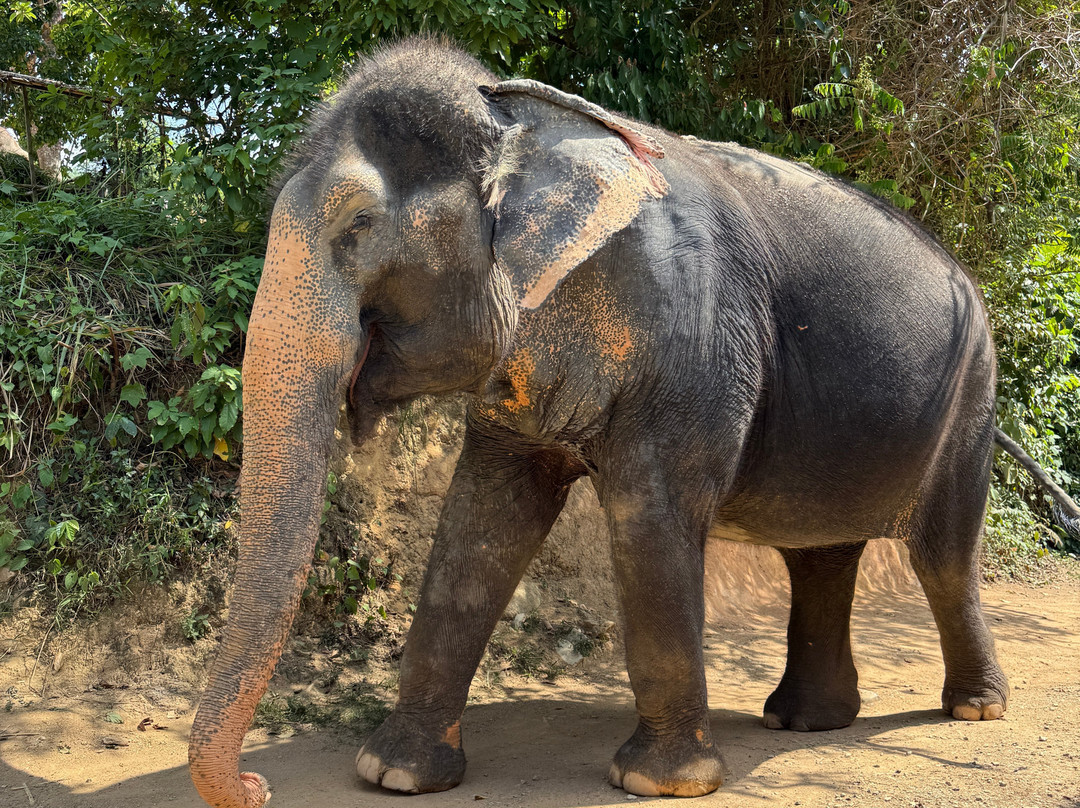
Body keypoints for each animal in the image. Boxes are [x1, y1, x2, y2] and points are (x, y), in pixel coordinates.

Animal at [187, 36, 1080, 807]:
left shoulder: (697, 343)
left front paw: (660, 782)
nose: (258, 787)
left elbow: (649, 520)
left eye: (359, 228)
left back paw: (970, 710)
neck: (515, 115)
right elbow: (479, 521)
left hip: (971, 396)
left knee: (944, 557)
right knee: (820, 554)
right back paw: (800, 721)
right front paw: (396, 775)